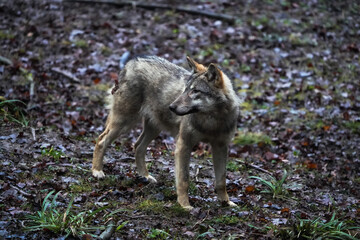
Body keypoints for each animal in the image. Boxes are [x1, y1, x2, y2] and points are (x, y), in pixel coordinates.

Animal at [91, 56, 240, 210]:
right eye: (185, 90)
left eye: (195, 91)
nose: (171, 107)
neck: (211, 122)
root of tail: (131, 62)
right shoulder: (183, 145)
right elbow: (184, 180)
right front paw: (185, 205)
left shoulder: (220, 147)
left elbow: (221, 181)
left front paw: (226, 203)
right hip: (124, 123)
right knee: (101, 140)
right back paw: (97, 171)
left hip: (154, 128)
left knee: (138, 146)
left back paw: (145, 176)